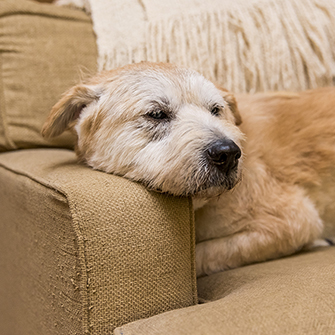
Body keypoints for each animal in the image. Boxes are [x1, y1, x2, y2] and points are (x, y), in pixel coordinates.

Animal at [42, 63, 335, 278]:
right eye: (156, 114)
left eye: (216, 110)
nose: (228, 153)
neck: (201, 206)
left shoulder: (294, 221)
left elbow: (202, 255)